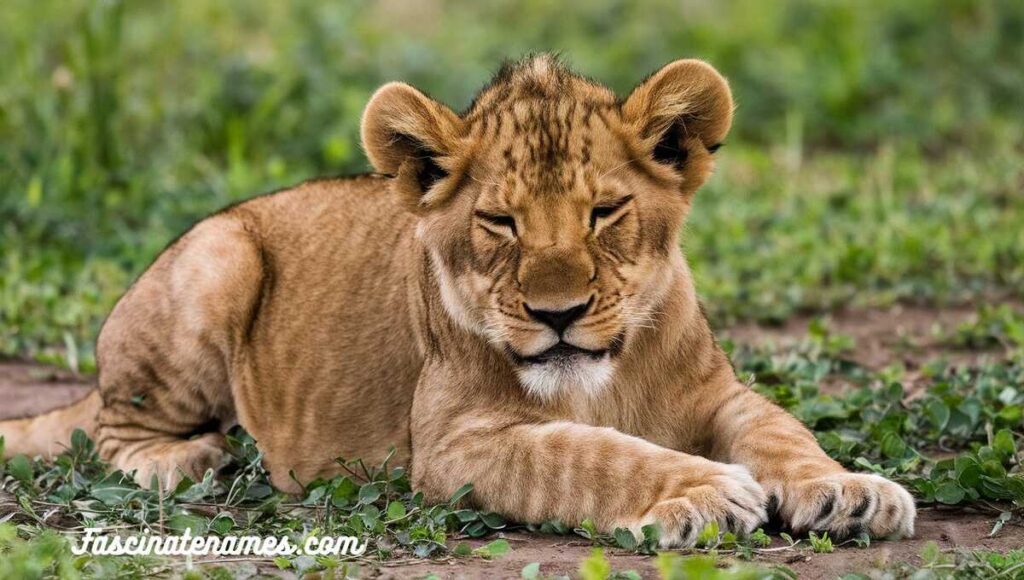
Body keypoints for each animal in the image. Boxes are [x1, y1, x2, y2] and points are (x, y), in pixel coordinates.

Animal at [0, 55, 915, 546]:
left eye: (604, 213)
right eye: (500, 223)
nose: (557, 314)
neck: (606, 376)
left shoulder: (718, 393)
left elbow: (782, 430)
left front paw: (848, 490)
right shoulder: (454, 446)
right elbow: (593, 455)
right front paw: (706, 493)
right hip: (217, 260)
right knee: (111, 429)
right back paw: (191, 458)